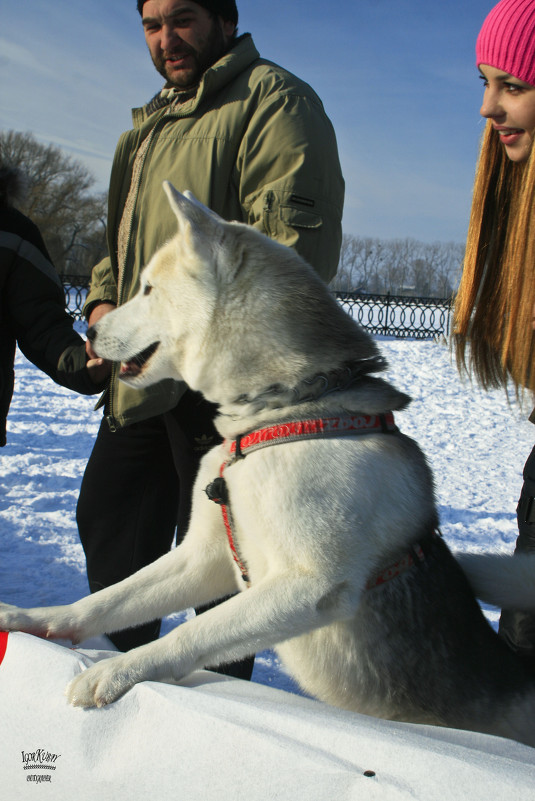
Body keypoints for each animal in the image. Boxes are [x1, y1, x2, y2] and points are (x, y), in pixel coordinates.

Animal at [3, 184, 535, 748]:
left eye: (147, 288)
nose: (89, 329)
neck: (284, 410)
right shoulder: (204, 556)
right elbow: (109, 600)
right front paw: (39, 620)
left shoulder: (308, 584)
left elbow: (192, 631)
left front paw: (117, 670)